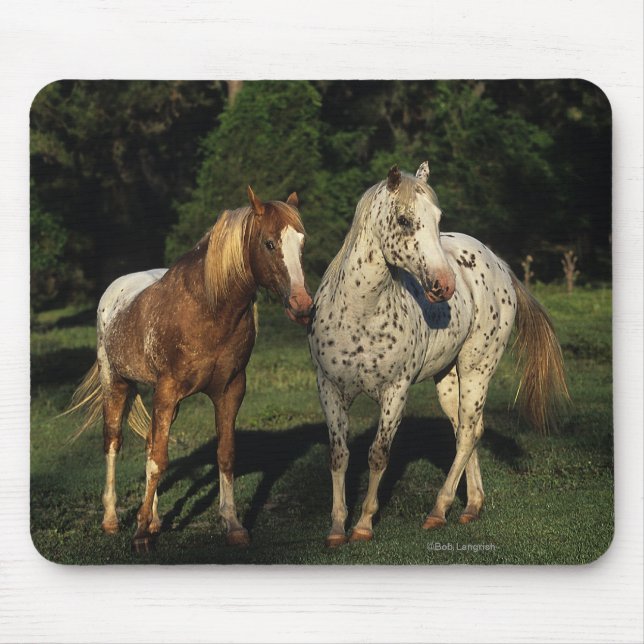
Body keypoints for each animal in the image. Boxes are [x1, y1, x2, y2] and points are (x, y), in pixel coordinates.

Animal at [66, 187, 313, 551]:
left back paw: (154, 519)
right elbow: (158, 460)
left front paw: (233, 524)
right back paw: (111, 520)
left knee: (150, 440)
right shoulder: (168, 391)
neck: (209, 309)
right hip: (117, 383)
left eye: (302, 243)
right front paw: (139, 534)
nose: (302, 305)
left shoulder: (229, 390)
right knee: (113, 442)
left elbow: (224, 454)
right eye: (269, 243)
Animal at [308, 163, 569, 547]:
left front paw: (364, 524)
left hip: (477, 369)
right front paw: (337, 528)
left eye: (437, 218)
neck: (359, 312)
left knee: (468, 434)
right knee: (466, 429)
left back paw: (438, 510)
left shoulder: (395, 393)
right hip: (448, 379)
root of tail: (498, 263)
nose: (444, 285)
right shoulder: (329, 389)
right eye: (404, 220)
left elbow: (378, 455)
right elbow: (339, 456)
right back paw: (471, 506)